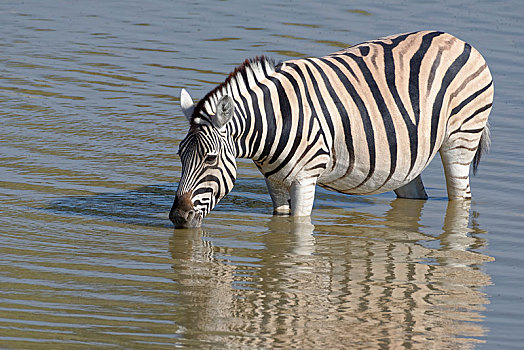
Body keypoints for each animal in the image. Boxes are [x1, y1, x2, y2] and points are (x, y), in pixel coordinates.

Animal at [170, 31, 494, 228]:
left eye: (210, 158)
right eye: (179, 156)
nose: (177, 217)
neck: (275, 120)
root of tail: (457, 39)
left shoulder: (305, 178)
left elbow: (298, 229)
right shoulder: (274, 182)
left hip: (461, 139)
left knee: (461, 197)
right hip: (406, 156)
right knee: (415, 195)